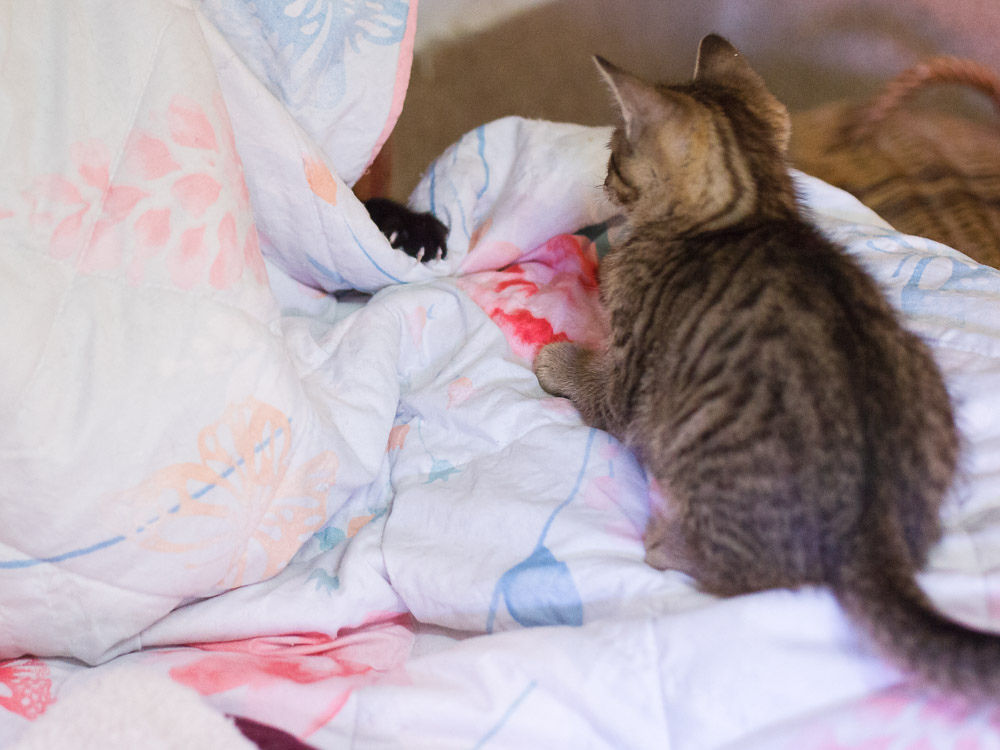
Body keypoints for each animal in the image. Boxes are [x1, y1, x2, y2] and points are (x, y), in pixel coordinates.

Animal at [536, 35, 1000, 704]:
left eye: (614, 157)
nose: (602, 180)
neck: (753, 209)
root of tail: (870, 528)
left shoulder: (631, 377)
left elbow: (598, 390)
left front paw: (558, 357)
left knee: (743, 575)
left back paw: (669, 544)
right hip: (926, 379)